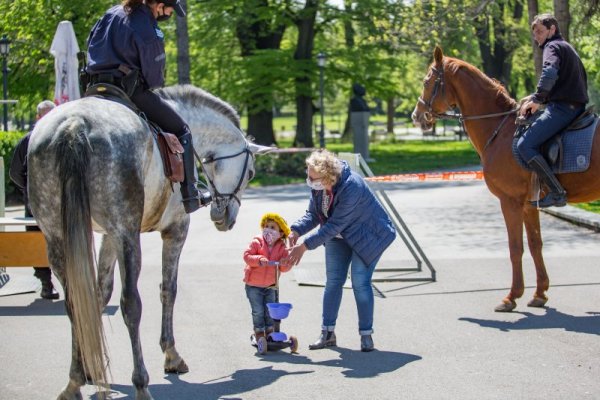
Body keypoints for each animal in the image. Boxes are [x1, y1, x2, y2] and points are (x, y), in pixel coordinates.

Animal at [25, 85, 264, 400]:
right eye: (250, 174)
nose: (225, 217)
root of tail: (74, 125)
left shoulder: (107, 236)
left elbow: (99, 294)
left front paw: (91, 366)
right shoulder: (174, 230)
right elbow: (168, 290)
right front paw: (171, 354)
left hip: (59, 236)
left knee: (75, 301)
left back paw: (74, 382)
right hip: (128, 237)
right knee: (131, 304)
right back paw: (141, 382)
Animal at [412, 47, 600, 312]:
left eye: (427, 81)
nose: (417, 116)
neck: (501, 130)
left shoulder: (510, 201)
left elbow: (515, 248)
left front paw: (511, 296)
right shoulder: (529, 205)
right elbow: (535, 244)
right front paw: (539, 293)